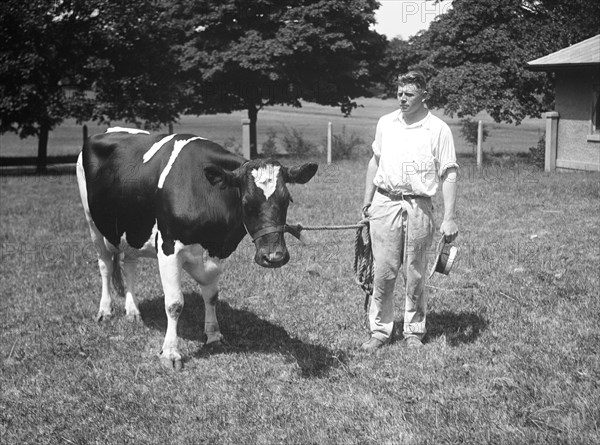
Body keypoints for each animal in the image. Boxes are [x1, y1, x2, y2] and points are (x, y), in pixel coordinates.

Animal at [77, 125, 316, 368]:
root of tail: (110, 129)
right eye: (246, 203)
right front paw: (170, 353)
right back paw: (105, 310)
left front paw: (214, 336)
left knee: (130, 265)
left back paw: (133, 310)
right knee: (105, 265)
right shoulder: (168, 248)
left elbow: (211, 296)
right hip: (92, 221)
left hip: (131, 228)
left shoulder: (216, 252)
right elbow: (174, 304)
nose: (274, 257)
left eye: (287, 200)